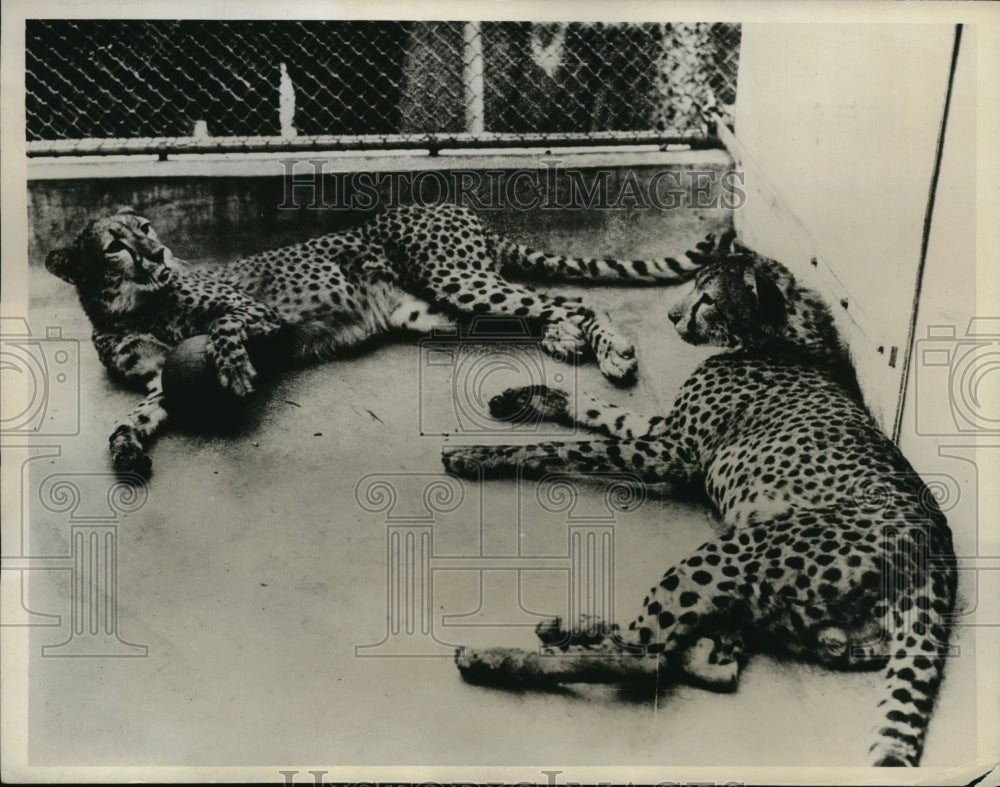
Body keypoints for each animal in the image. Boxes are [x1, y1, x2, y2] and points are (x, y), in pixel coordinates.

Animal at [43, 202, 708, 480]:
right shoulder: (158, 381)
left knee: (575, 298)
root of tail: (455, 204)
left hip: (459, 280)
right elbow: (131, 418)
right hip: (438, 310)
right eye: (116, 245)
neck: (131, 306)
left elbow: (227, 327)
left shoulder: (260, 317)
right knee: (544, 306)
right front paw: (126, 453)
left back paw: (611, 350)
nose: (158, 252)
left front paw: (232, 372)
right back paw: (565, 338)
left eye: (147, 228)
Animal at [448, 231, 960, 768]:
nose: (673, 316)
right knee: (712, 663)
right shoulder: (667, 434)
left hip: (738, 550)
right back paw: (574, 627)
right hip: (778, 600)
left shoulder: (673, 452)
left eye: (708, 298)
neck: (779, 336)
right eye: (693, 285)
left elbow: (567, 447)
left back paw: (496, 659)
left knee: (645, 657)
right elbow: (597, 408)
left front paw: (479, 454)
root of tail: (938, 548)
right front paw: (524, 397)